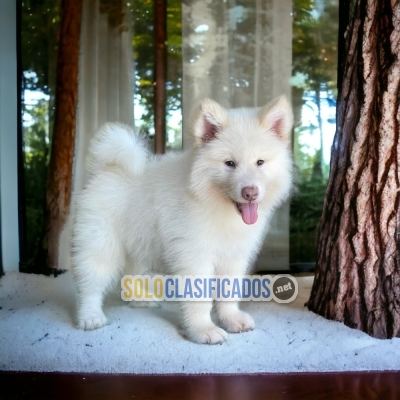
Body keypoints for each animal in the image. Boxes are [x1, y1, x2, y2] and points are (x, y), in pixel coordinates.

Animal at [70, 97, 292, 344]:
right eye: (230, 163)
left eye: (260, 162)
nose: (250, 192)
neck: (214, 204)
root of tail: (107, 169)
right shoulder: (194, 256)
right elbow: (199, 298)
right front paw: (204, 330)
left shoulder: (233, 256)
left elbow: (228, 292)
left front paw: (232, 320)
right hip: (101, 244)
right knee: (90, 284)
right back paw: (91, 317)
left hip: (138, 245)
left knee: (129, 275)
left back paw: (139, 300)